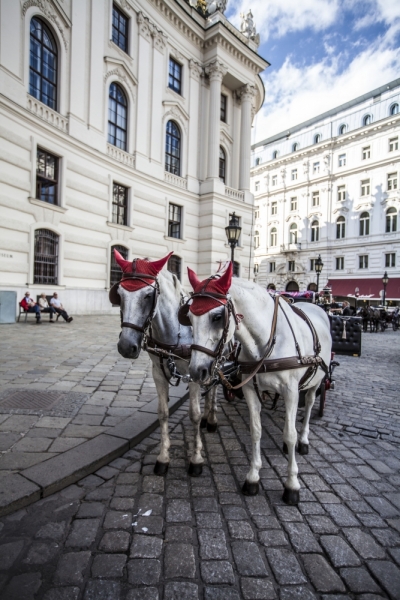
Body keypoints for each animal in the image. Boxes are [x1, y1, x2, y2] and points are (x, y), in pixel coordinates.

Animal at [110, 252, 219, 478]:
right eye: (120, 294)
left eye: (147, 296)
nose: (126, 347)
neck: (175, 332)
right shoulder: (158, 373)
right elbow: (163, 413)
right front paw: (163, 458)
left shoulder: (194, 373)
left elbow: (193, 415)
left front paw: (196, 459)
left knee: (214, 390)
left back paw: (211, 419)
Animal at [186, 264, 330, 504]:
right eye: (188, 316)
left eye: (217, 316)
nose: (197, 370)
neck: (265, 342)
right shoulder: (250, 390)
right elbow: (256, 430)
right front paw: (253, 476)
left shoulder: (291, 392)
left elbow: (289, 434)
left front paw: (292, 484)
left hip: (314, 382)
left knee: (308, 406)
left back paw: (304, 440)